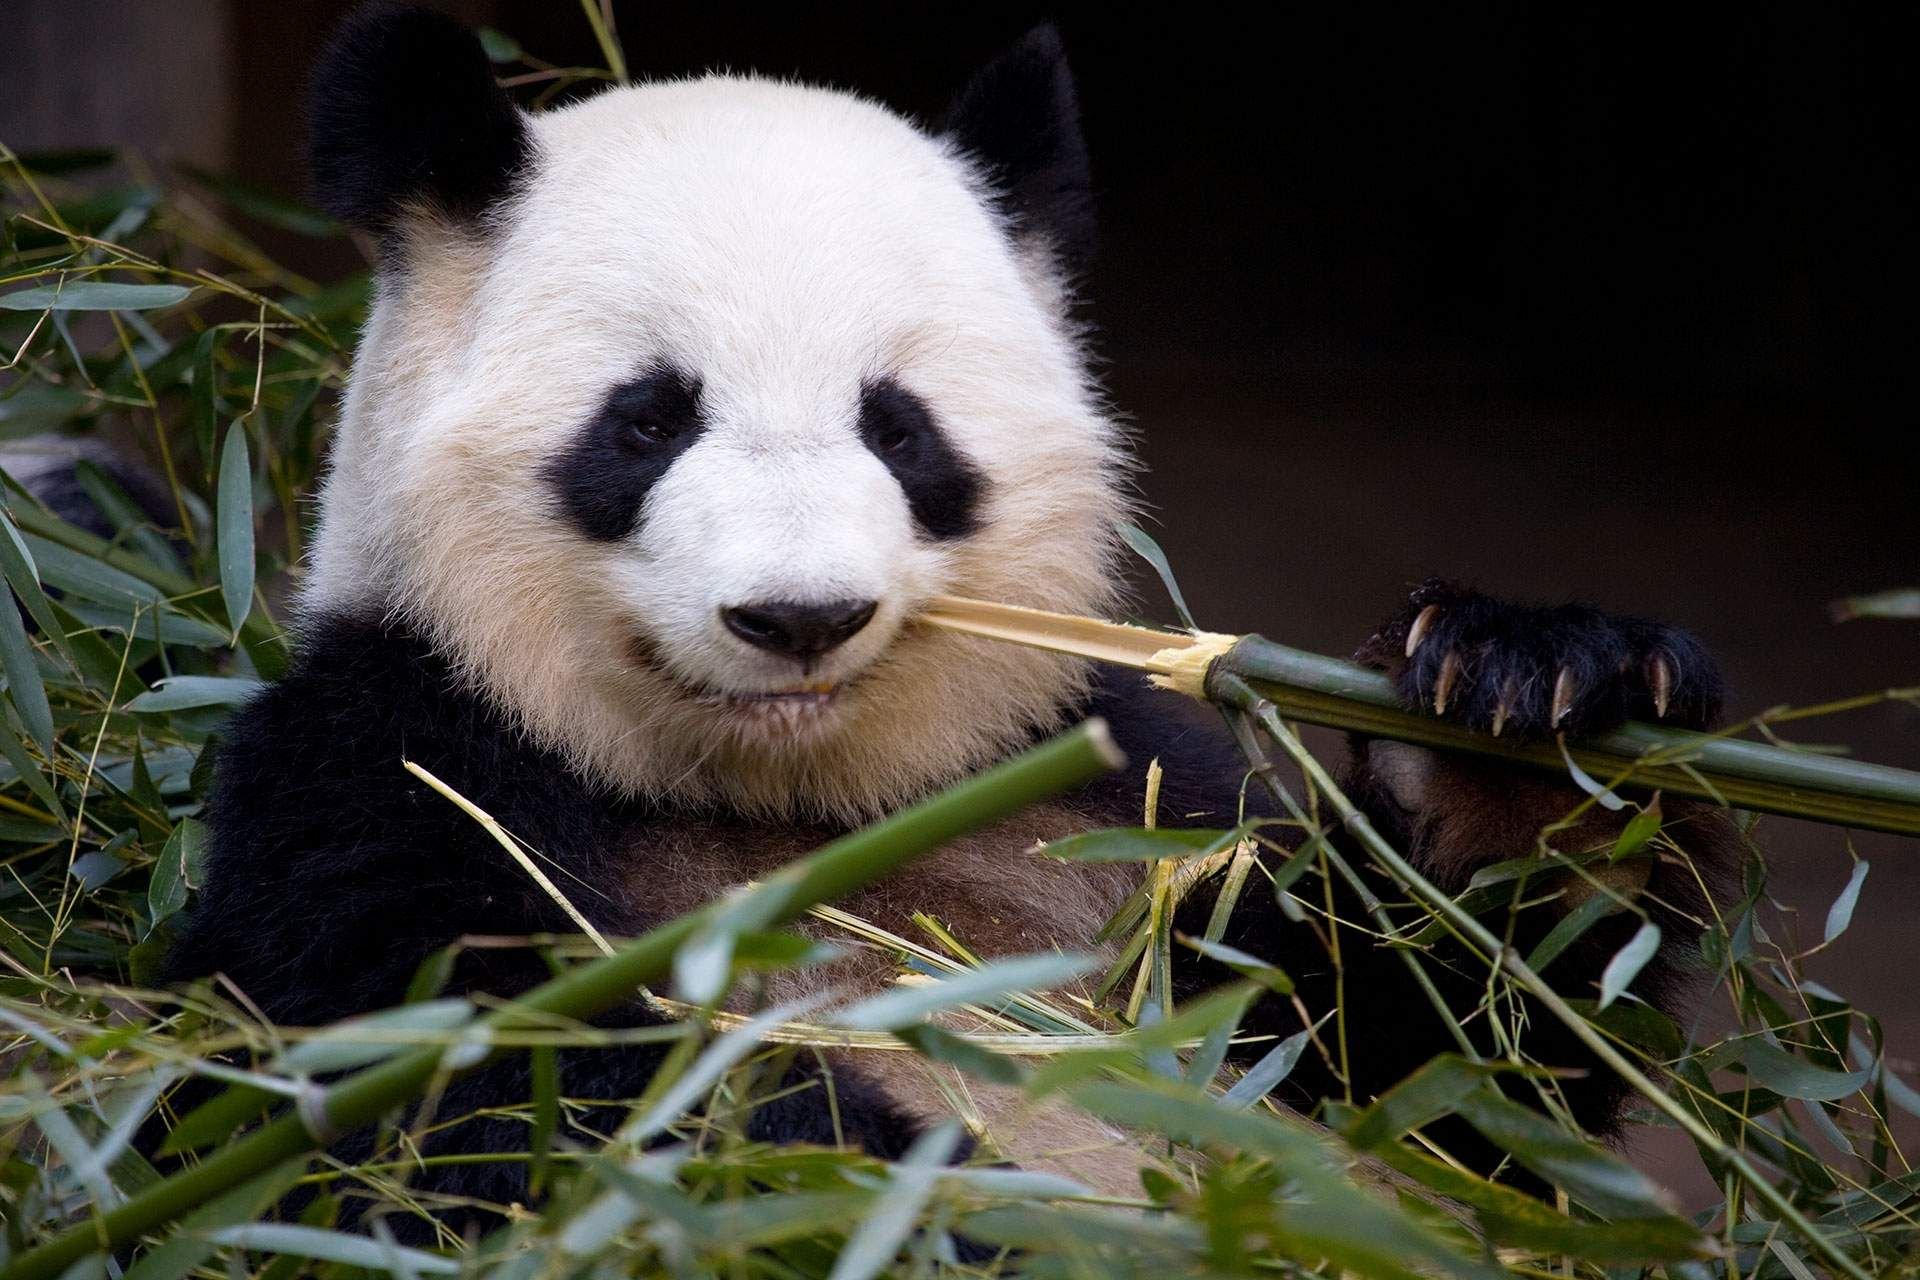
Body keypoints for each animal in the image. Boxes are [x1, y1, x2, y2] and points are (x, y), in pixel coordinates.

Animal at [165, 0, 1743, 1243]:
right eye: (649, 420)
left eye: (902, 428)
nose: (798, 615)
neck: (803, 804)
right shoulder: (392, 763)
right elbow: (505, 1097)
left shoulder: (1128, 802)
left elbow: (1441, 1076)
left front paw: (1531, 712)